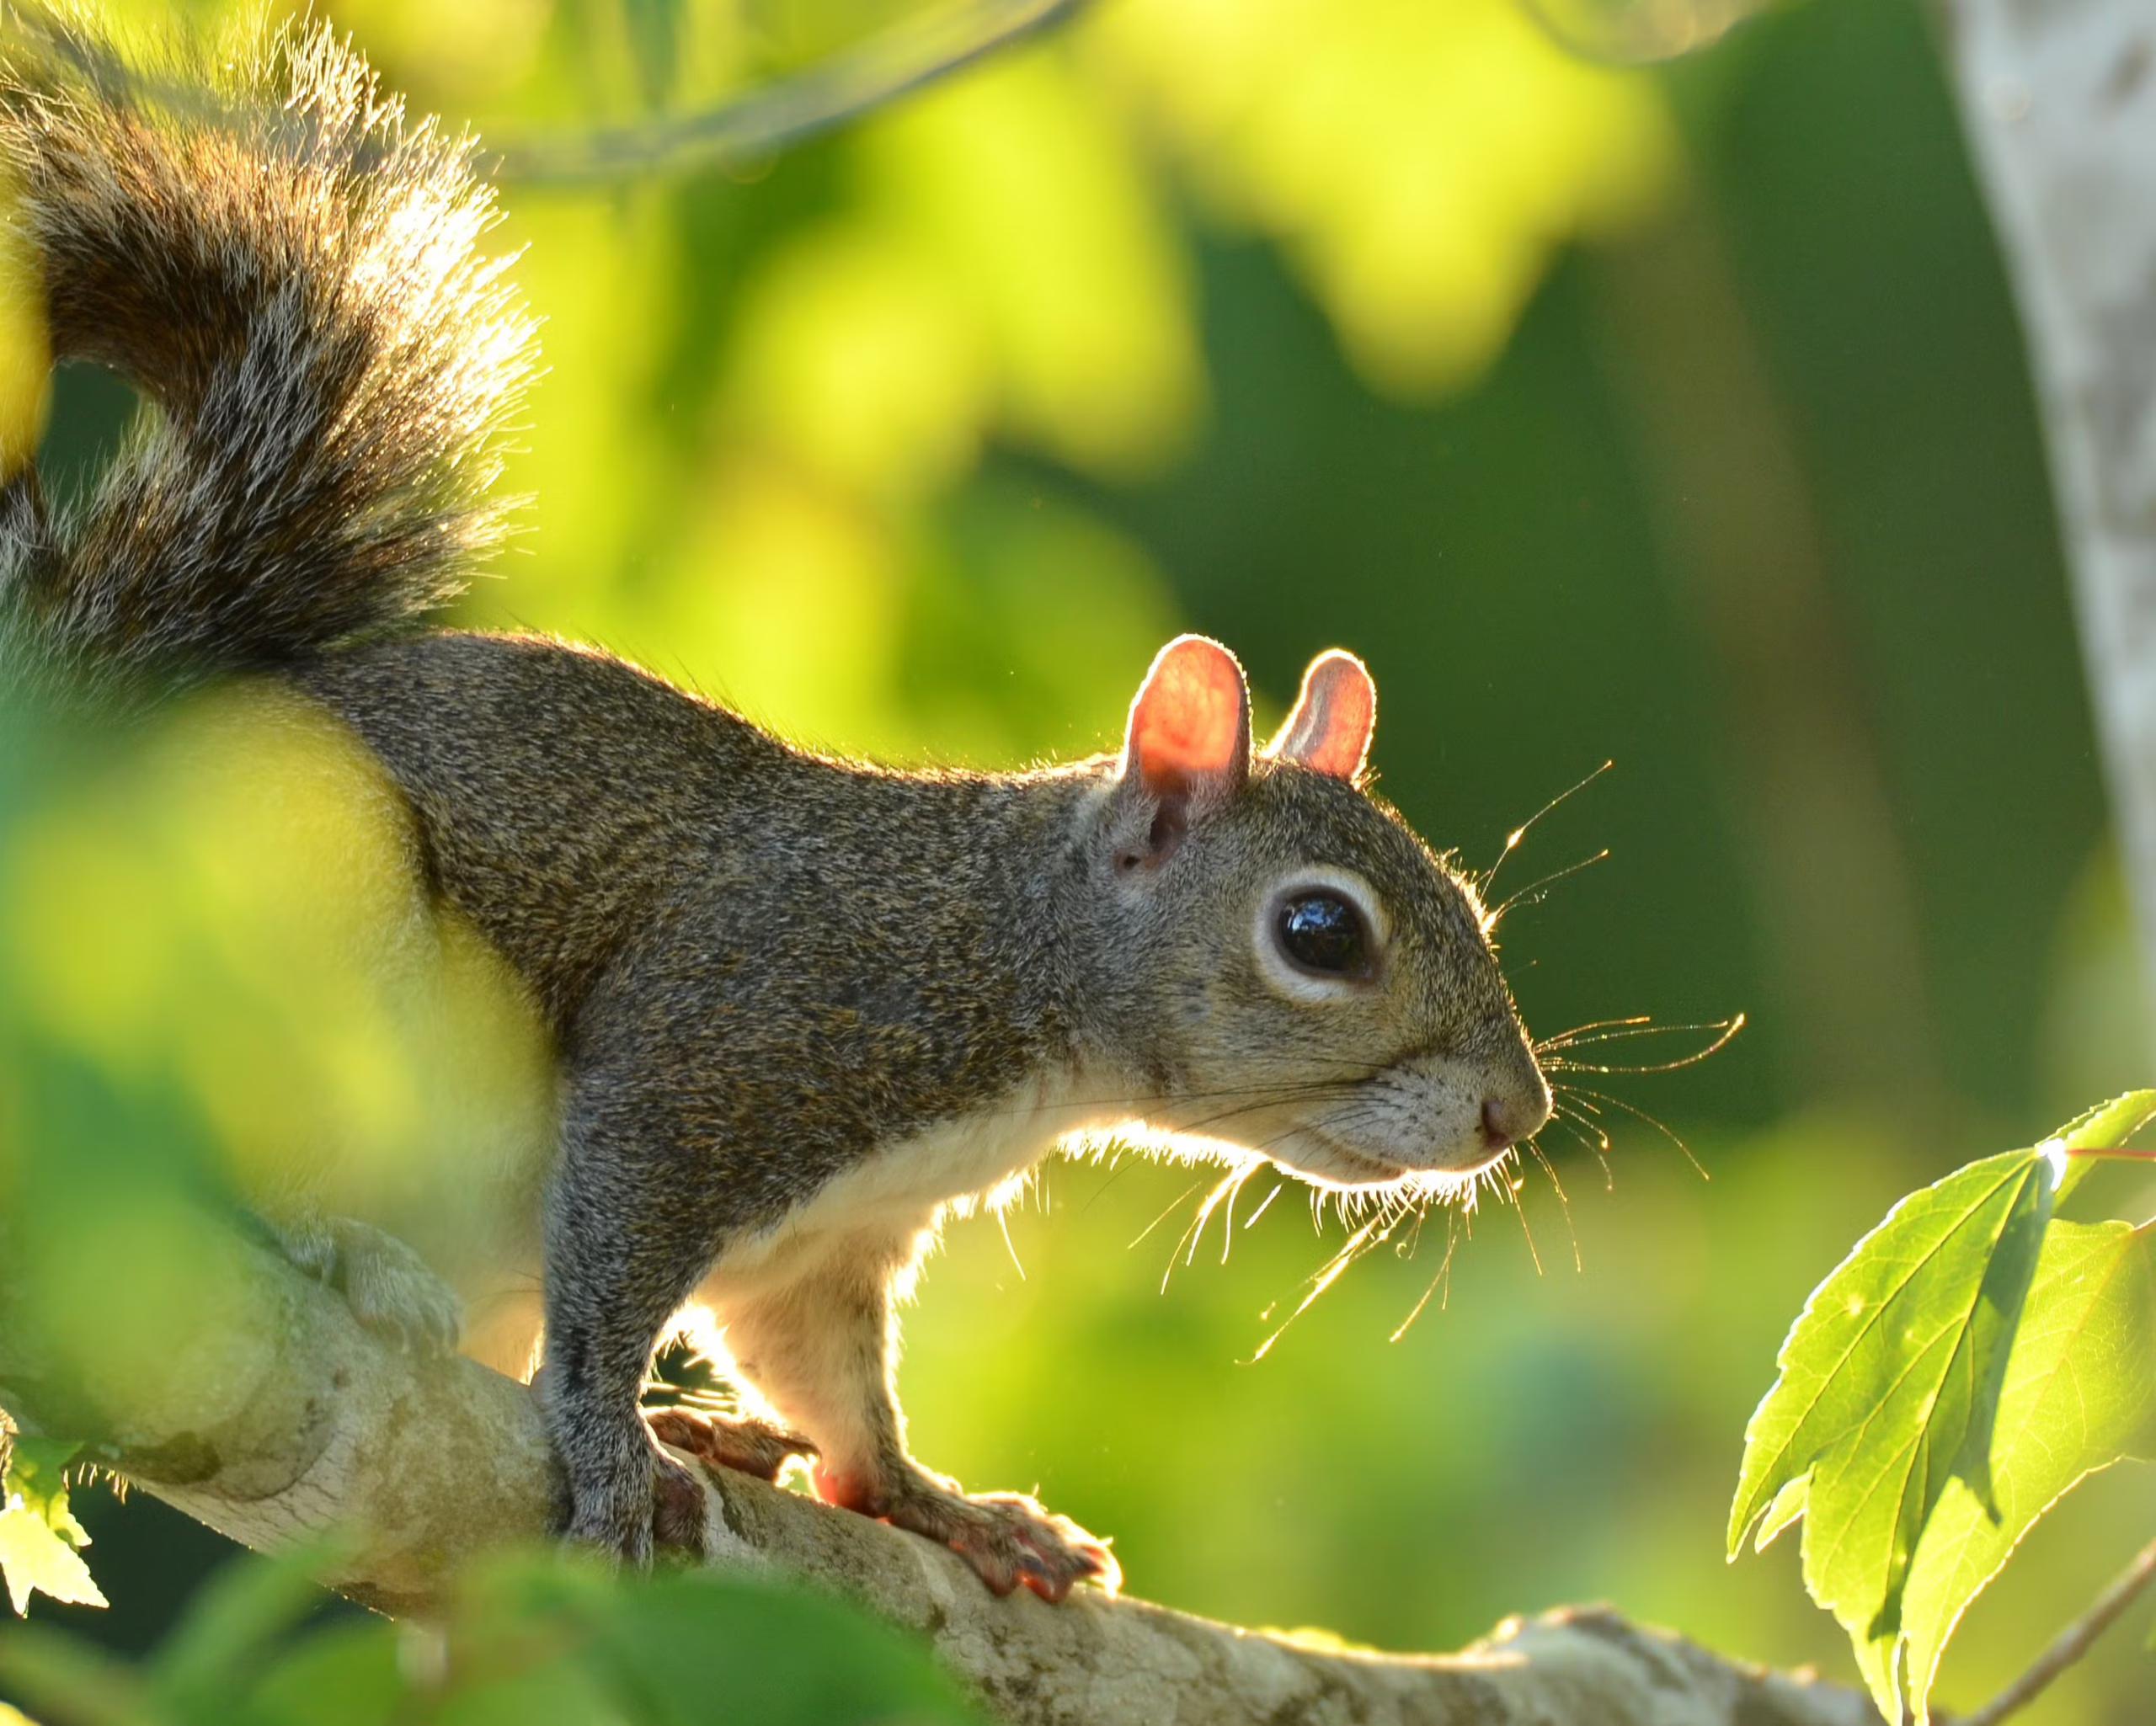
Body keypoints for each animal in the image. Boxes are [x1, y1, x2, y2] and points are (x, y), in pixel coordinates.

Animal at [0, 16, 1553, 1600]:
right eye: (1320, 932)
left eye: (1474, 906)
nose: (1517, 1114)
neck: (1013, 960)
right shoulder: (727, 1044)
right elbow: (614, 1267)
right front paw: (613, 1444)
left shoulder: (829, 1245)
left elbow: (830, 1378)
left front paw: (939, 1502)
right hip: (289, 952)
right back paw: (353, 1256)